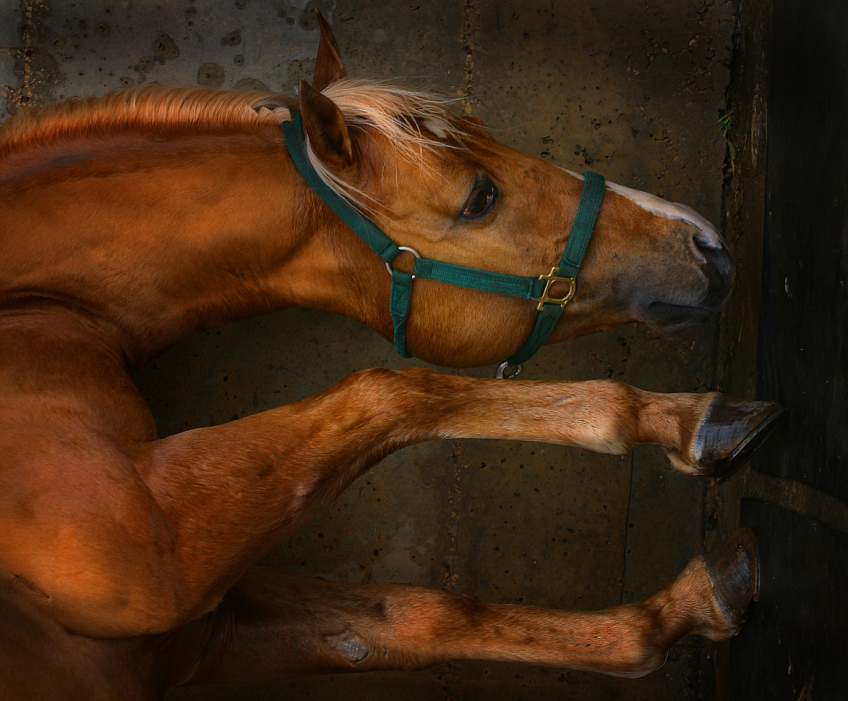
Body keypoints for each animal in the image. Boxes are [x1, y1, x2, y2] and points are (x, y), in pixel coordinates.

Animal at [1, 16, 780, 700]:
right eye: (480, 197)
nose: (706, 244)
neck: (32, 309)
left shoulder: (207, 631)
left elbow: (420, 617)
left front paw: (689, 603)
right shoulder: (151, 552)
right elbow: (391, 390)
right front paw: (684, 421)